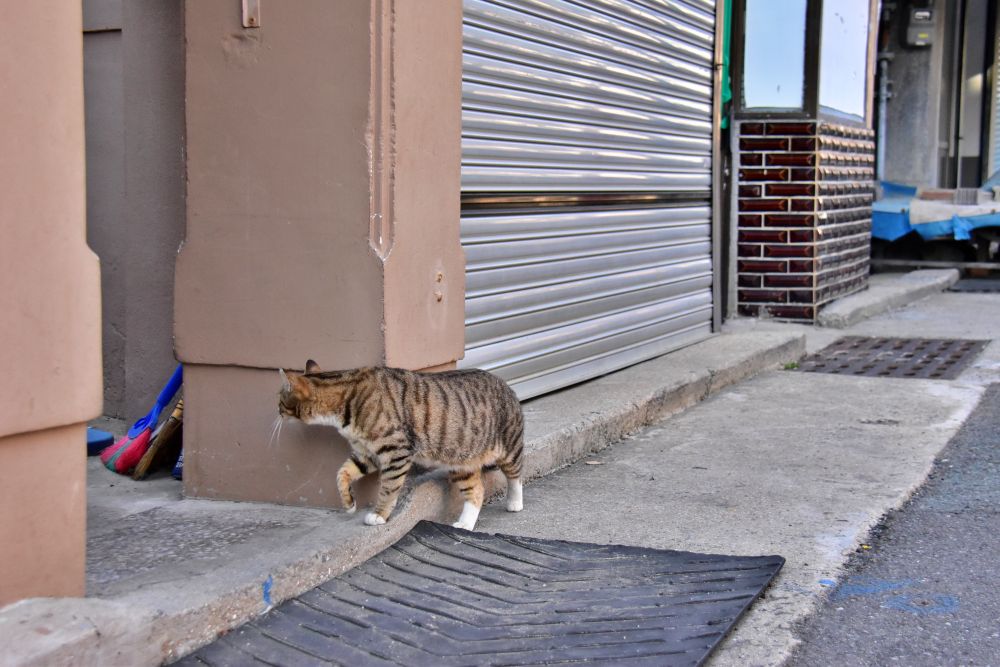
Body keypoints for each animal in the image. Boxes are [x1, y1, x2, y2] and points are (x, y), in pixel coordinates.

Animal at [276, 360, 524, 532]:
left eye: (279, 399)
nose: (276, 411)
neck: (347, 397)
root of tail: (506, 384)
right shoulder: (366, 453)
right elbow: (342, 473)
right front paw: (349, 503)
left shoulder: (395, 451)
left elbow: (388, 488)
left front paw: (379, 515)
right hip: (462, 463)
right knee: (476, 491)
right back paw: (465, 524)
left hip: (509, 449)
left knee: (515, 476)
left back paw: (515, 502)